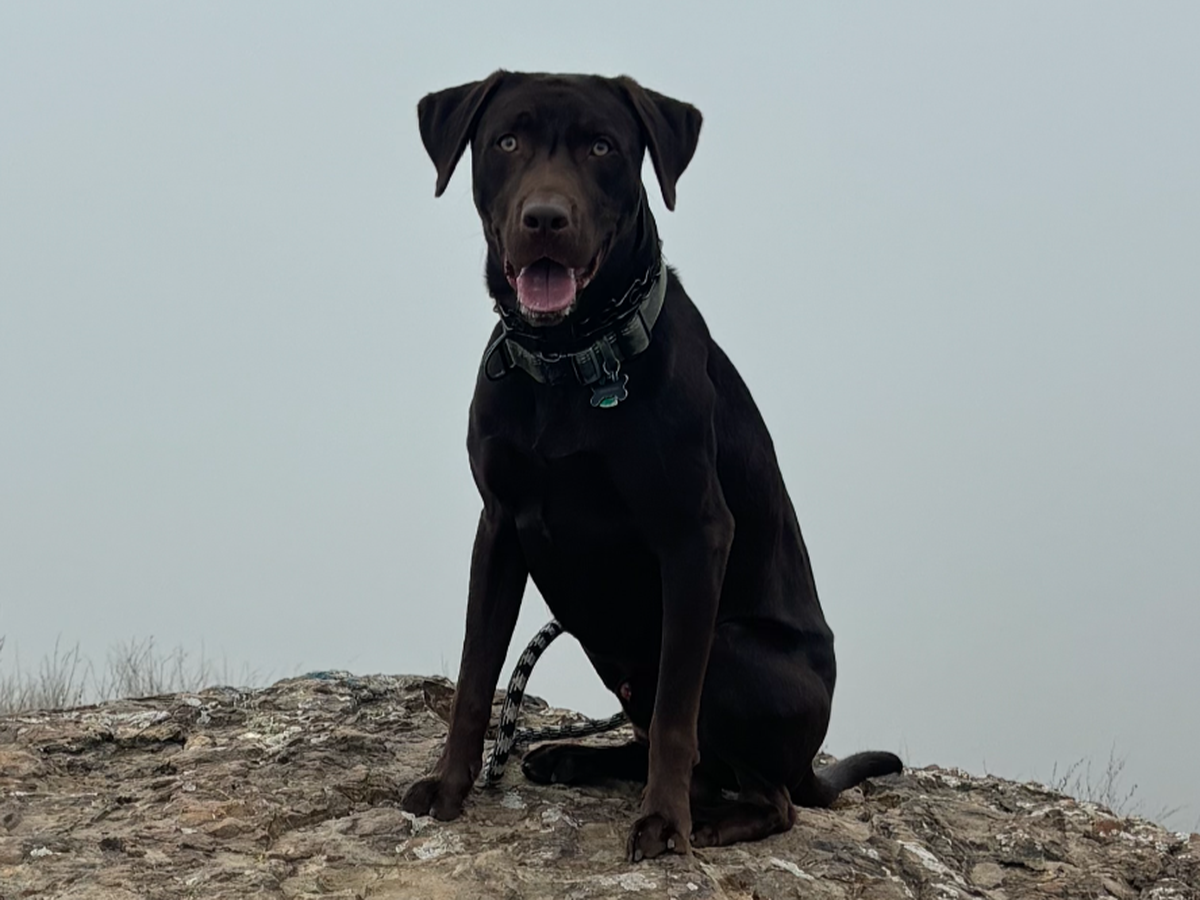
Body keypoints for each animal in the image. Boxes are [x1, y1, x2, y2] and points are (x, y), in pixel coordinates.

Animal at [401, 71, 902, 862]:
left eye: (602, 147)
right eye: (506, 140)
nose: (546, 218)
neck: (571, 364)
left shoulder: (695, 536)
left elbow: (675, 713)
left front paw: (665, 823)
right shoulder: (500, 526)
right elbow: (475, 676)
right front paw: (450, 787)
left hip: (728, 648)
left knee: (765, 791)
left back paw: (714, 817)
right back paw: (572, 758)